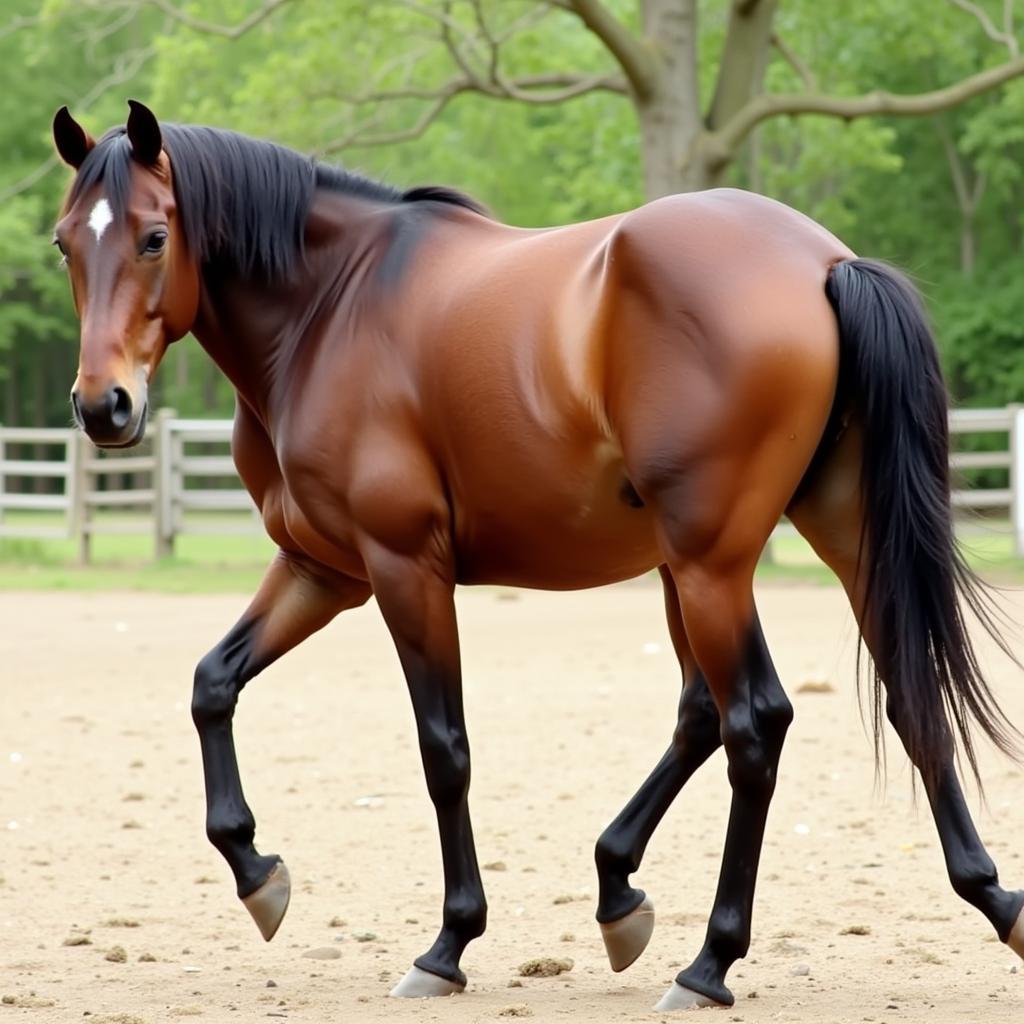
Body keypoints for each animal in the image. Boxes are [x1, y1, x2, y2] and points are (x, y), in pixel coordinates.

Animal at [51, 99, 1019, 1011]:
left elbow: (444, 749)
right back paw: (979, 898)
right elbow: (212, 684)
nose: (104, 407)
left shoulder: (404, 568)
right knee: (885, 698)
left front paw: (448, 943)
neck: (327, 311)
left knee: (754, 723)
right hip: (815, 542)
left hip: (711, 566)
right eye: (66, 243)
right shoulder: (321, 571)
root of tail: (821, 263)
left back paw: (708, 961)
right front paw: (257, 872)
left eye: (154, 237)